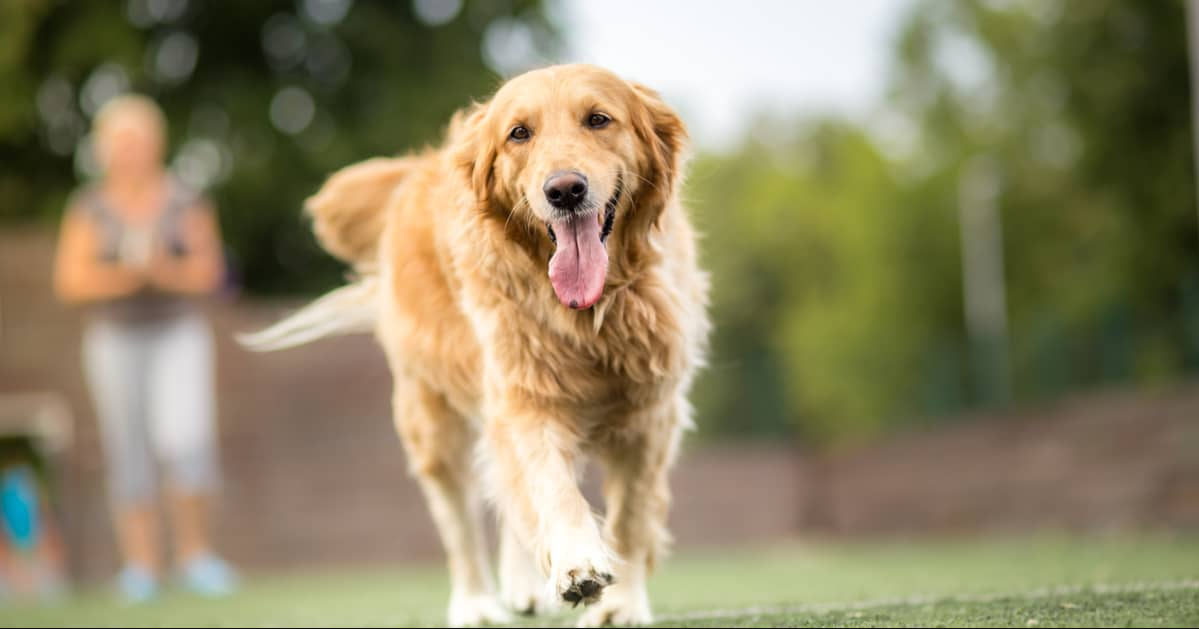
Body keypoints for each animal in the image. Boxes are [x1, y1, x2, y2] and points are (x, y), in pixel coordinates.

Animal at [246, 62, 705, 623]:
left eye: (599, 119)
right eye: (519, 133)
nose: (565, 190)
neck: (589, 314)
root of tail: (417, 170)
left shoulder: (651, 414)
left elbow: (632, 517)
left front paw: (620, 606)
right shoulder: (526, 396)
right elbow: (550, 487)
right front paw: (575, 561)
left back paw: (525, 588)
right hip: (432, 421)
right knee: (459, 522)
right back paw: (477, 604)